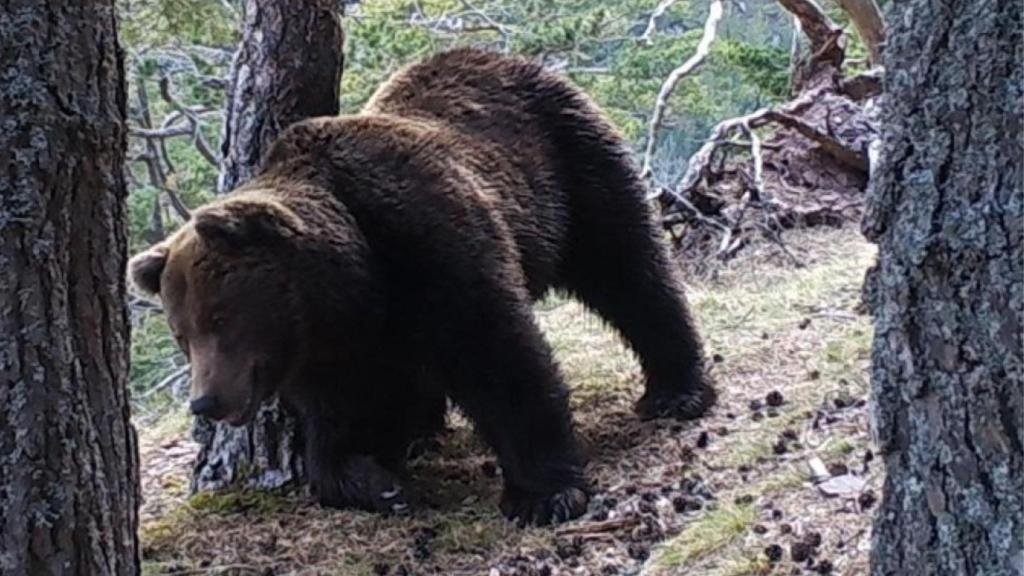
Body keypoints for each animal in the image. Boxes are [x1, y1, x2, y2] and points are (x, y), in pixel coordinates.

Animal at [128, 48, 715, 526]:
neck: (353, 281)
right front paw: (373, 480)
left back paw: (676, 389)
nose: (206, 401)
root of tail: (496, 55)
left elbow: (500, 358)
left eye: (219, 319)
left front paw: (542, 494)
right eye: (182, 336)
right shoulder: (335, 346)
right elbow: (339, 419)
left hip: (568, 161)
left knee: (628, 269)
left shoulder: (429, 244)